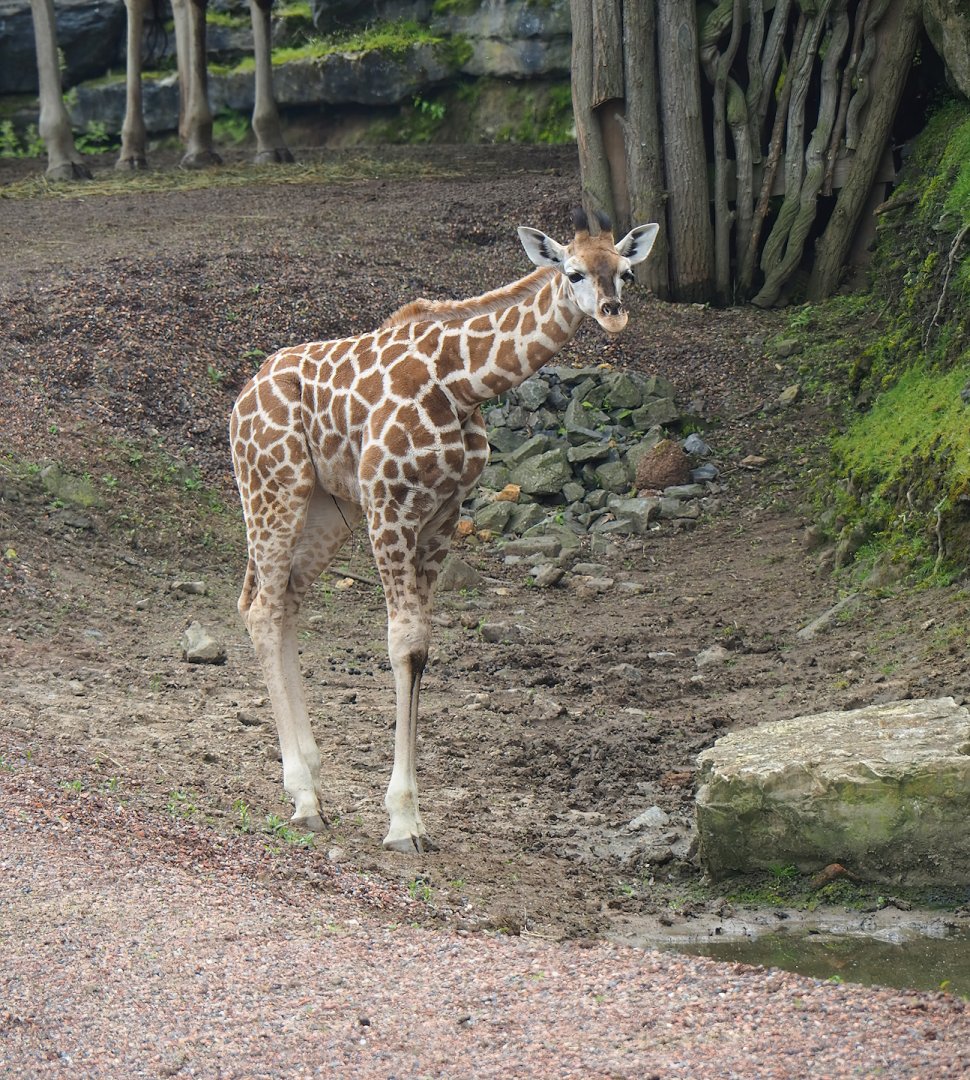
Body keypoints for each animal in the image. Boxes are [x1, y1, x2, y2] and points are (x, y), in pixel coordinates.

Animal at [229, 209, 659, 852]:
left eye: (626, 272)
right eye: (574, 272)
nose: (613, 313)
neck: (462, 382)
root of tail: (242, 396)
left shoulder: (442, 514)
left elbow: (422, 650)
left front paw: (412, 817)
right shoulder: (390, 505)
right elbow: (401, 644)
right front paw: (403, 822)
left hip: (328, 509)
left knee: (282, 605)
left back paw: (311, 783)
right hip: (274, 487)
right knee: (260, 609)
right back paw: (303, 797)